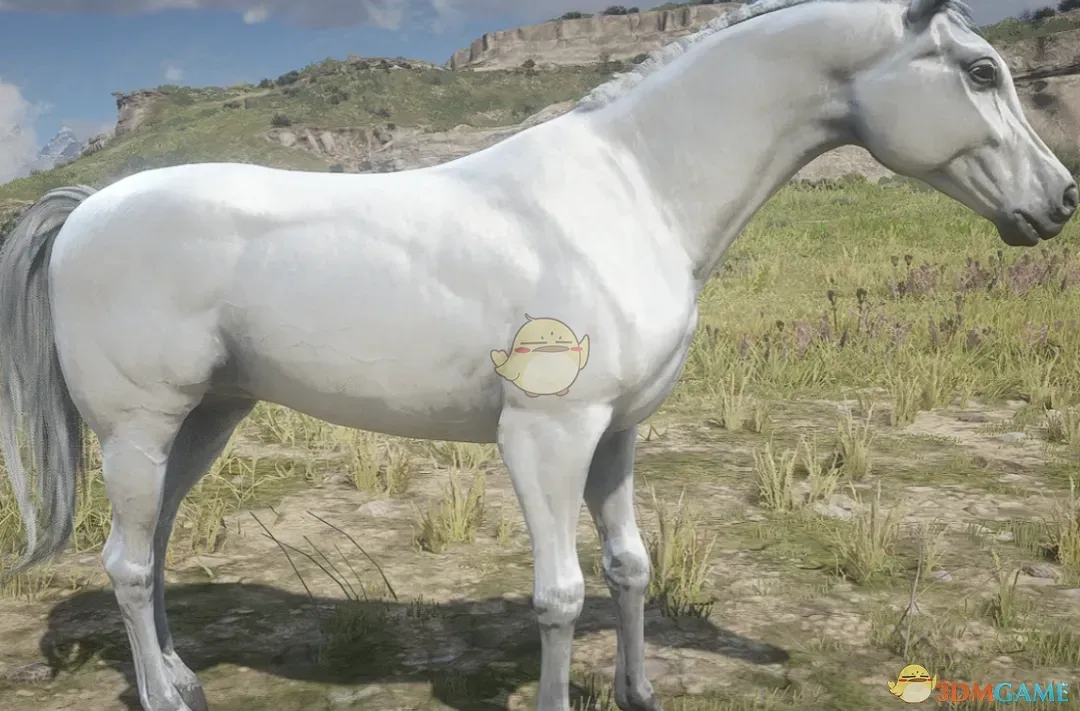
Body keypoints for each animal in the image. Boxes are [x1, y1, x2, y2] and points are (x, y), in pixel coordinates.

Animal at [0, 1, 1074, 710]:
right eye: (981, 71)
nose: (1060, 199)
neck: (632, 191)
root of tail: (88, 205)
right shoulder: (546, 436)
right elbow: (559, 594)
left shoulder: (618, 435)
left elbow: (630, 567)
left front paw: (639, 691)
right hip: (138, 429)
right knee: (126, 563)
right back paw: (164, 693)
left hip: (207, 420)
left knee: (153, 552)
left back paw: (181, 673)